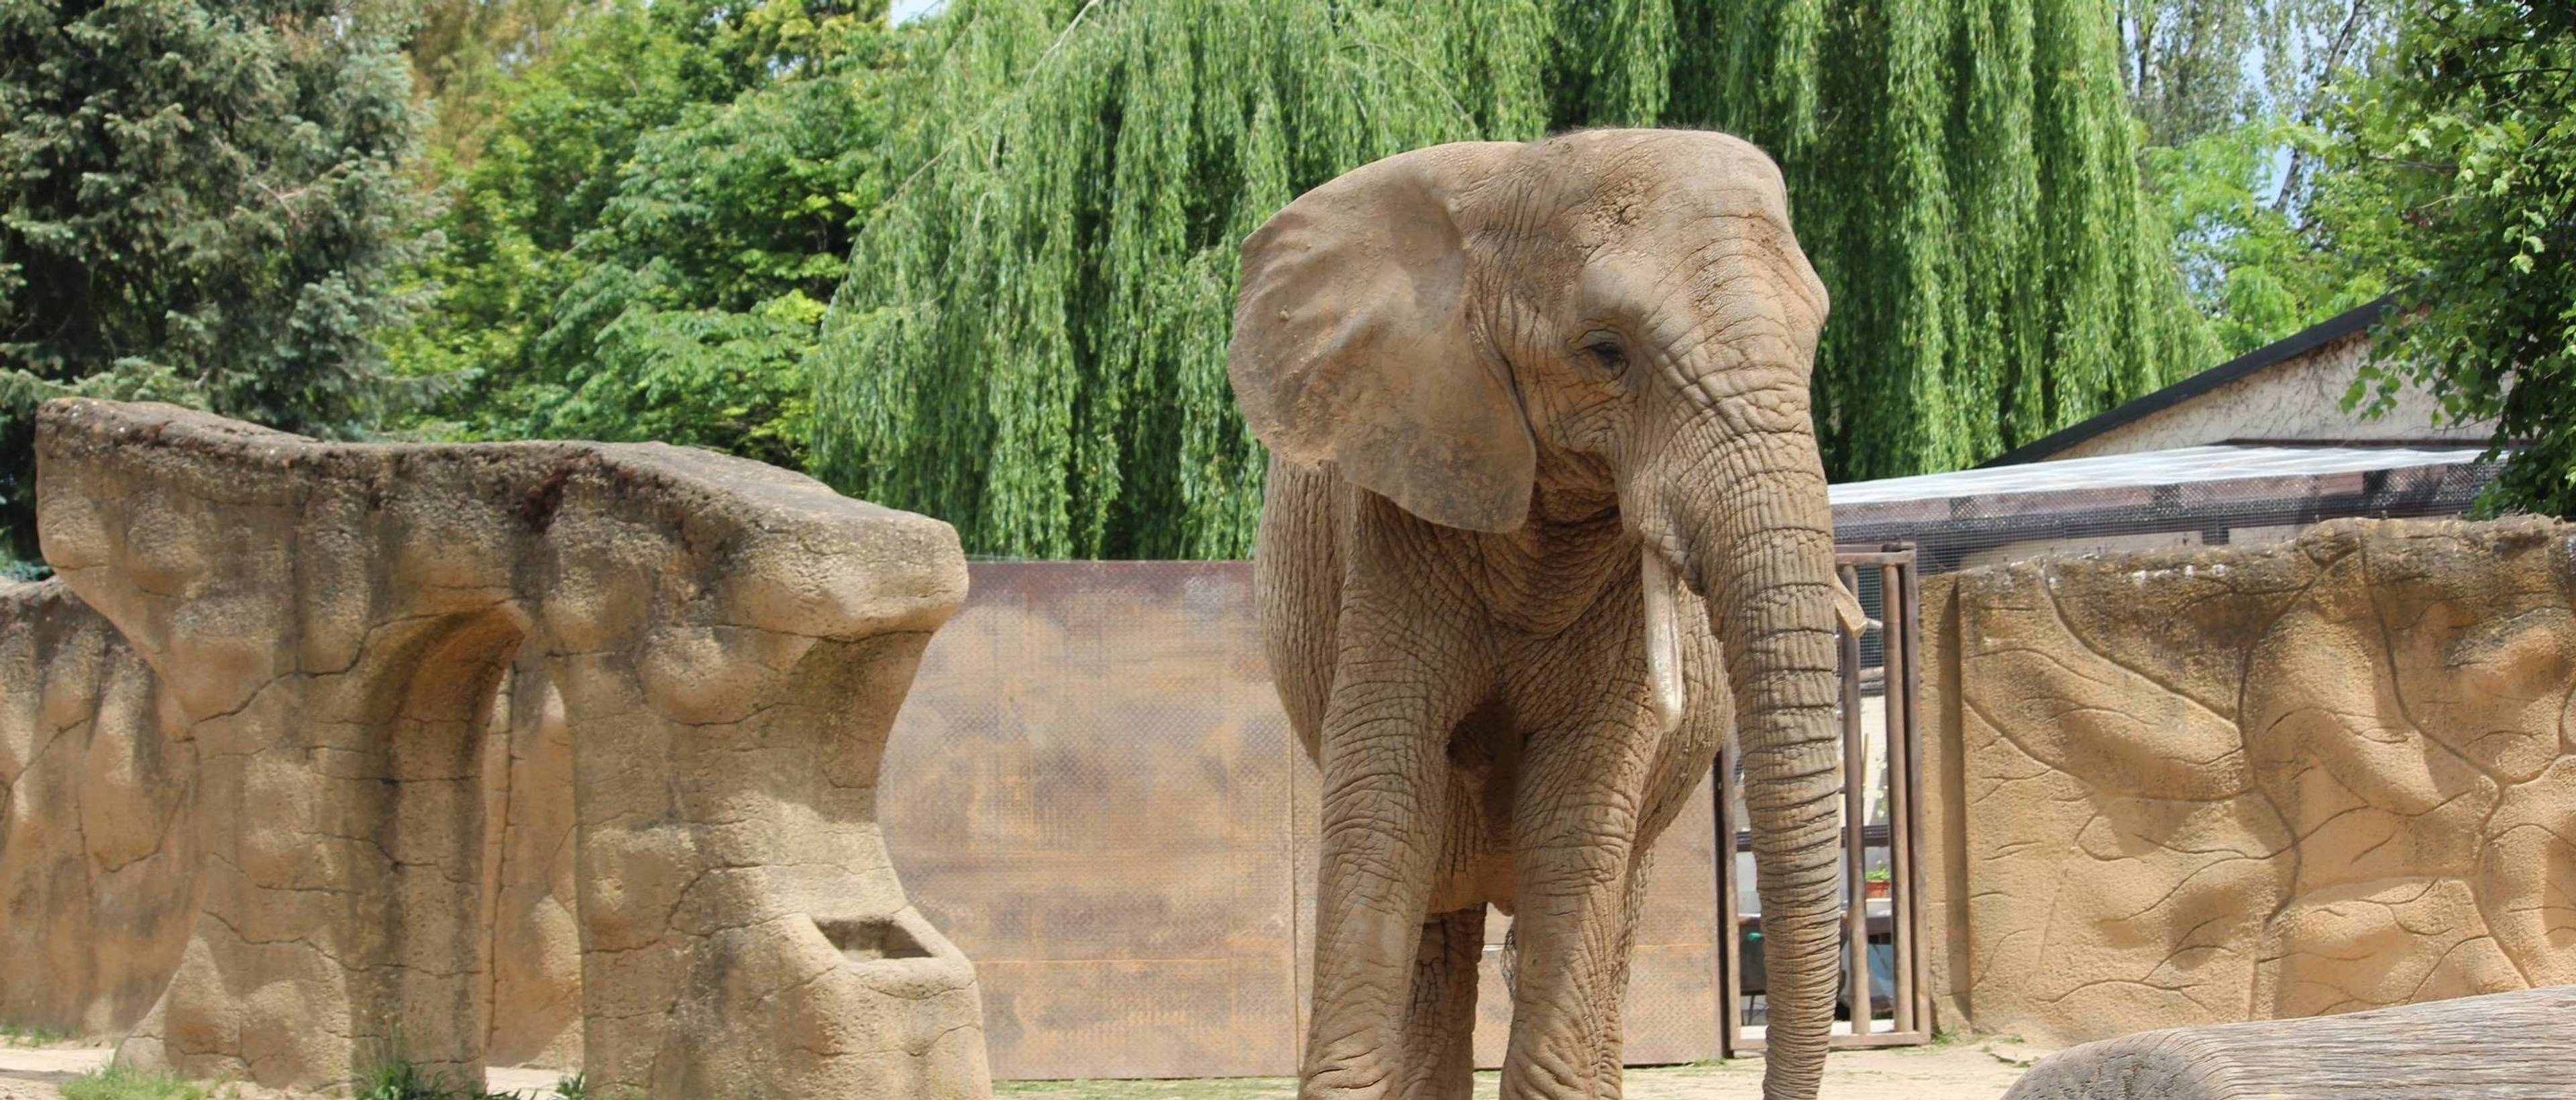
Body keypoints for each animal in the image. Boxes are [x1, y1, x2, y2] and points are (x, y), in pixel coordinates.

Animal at [1226, 125, 1854, 1097]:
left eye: (1815, 337)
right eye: (1607, 351)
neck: (1512, 185)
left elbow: (1577, 823)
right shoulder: (1395, 507)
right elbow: (1389, 805)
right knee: (1437, 926)